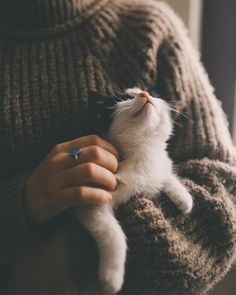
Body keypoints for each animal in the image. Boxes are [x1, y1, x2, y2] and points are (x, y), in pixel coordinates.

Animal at [74, 88, 193, 295]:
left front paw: (183, 198)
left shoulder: (158, 164)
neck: (142, 150)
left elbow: (165, 173)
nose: (144, 93)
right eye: (125, 98)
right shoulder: (91, 200)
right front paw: (112, 277)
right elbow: (113, 234)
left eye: (152, 93)